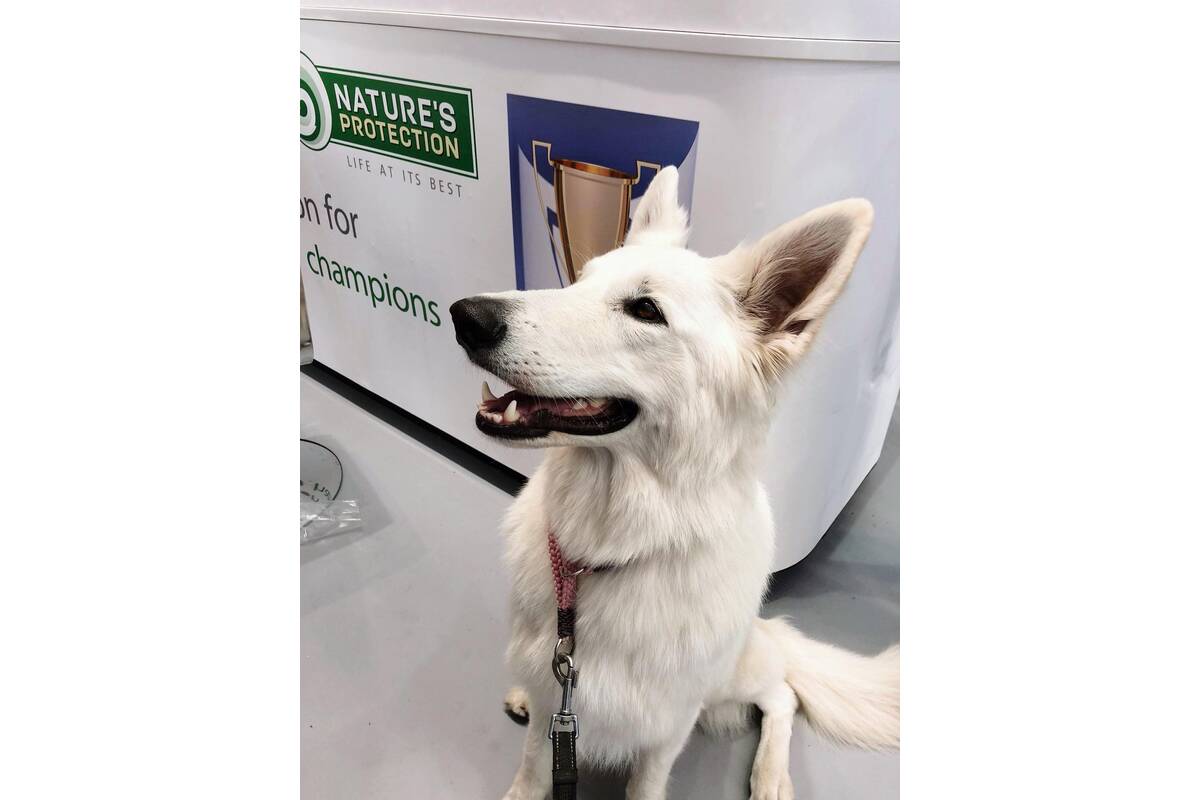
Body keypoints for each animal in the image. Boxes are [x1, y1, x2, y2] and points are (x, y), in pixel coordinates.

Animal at [449, 167, 899, 800]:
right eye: (579, 280)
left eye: (644, 309)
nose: (465, 316)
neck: (608, 550)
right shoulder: (553, 704)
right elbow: (534, 766)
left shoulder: (668, 724)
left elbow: (647, 782)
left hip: (734, 674)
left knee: (782, 692)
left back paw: (771, 777)